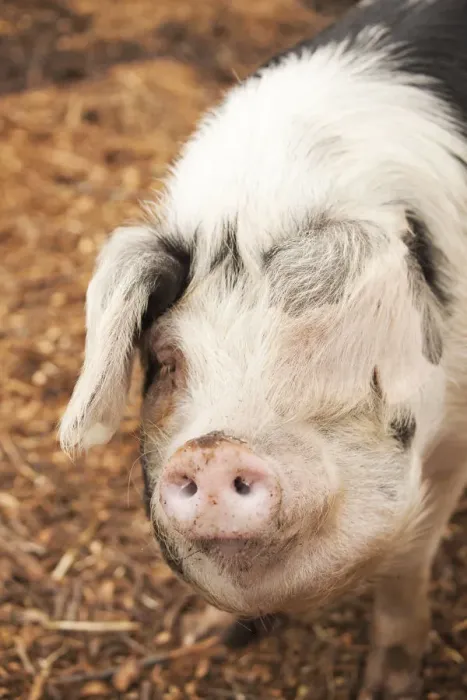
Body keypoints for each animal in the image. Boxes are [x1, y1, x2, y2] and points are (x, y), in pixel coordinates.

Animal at [60, 1, 467, 697]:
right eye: (167, 362)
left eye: (340, 352)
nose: (212, 449)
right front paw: (199, 636)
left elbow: (406, 567)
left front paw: (386, 686)